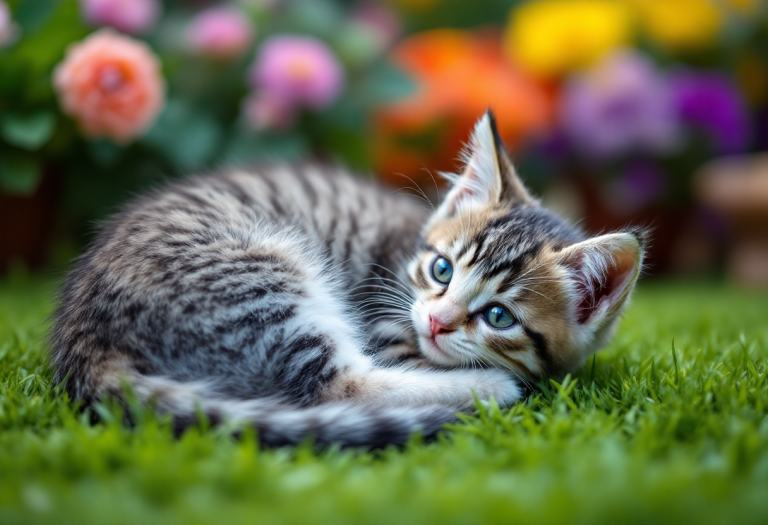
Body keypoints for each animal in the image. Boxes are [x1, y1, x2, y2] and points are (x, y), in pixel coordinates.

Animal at [51, 111, 644, 446]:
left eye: (499, 316)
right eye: (442, 269)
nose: (437, 321)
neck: (405, 258)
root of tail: (82, 343)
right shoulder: (388, 318)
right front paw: (498, 379)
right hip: (263, 278)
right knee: (337, 386)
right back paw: (491, 387)